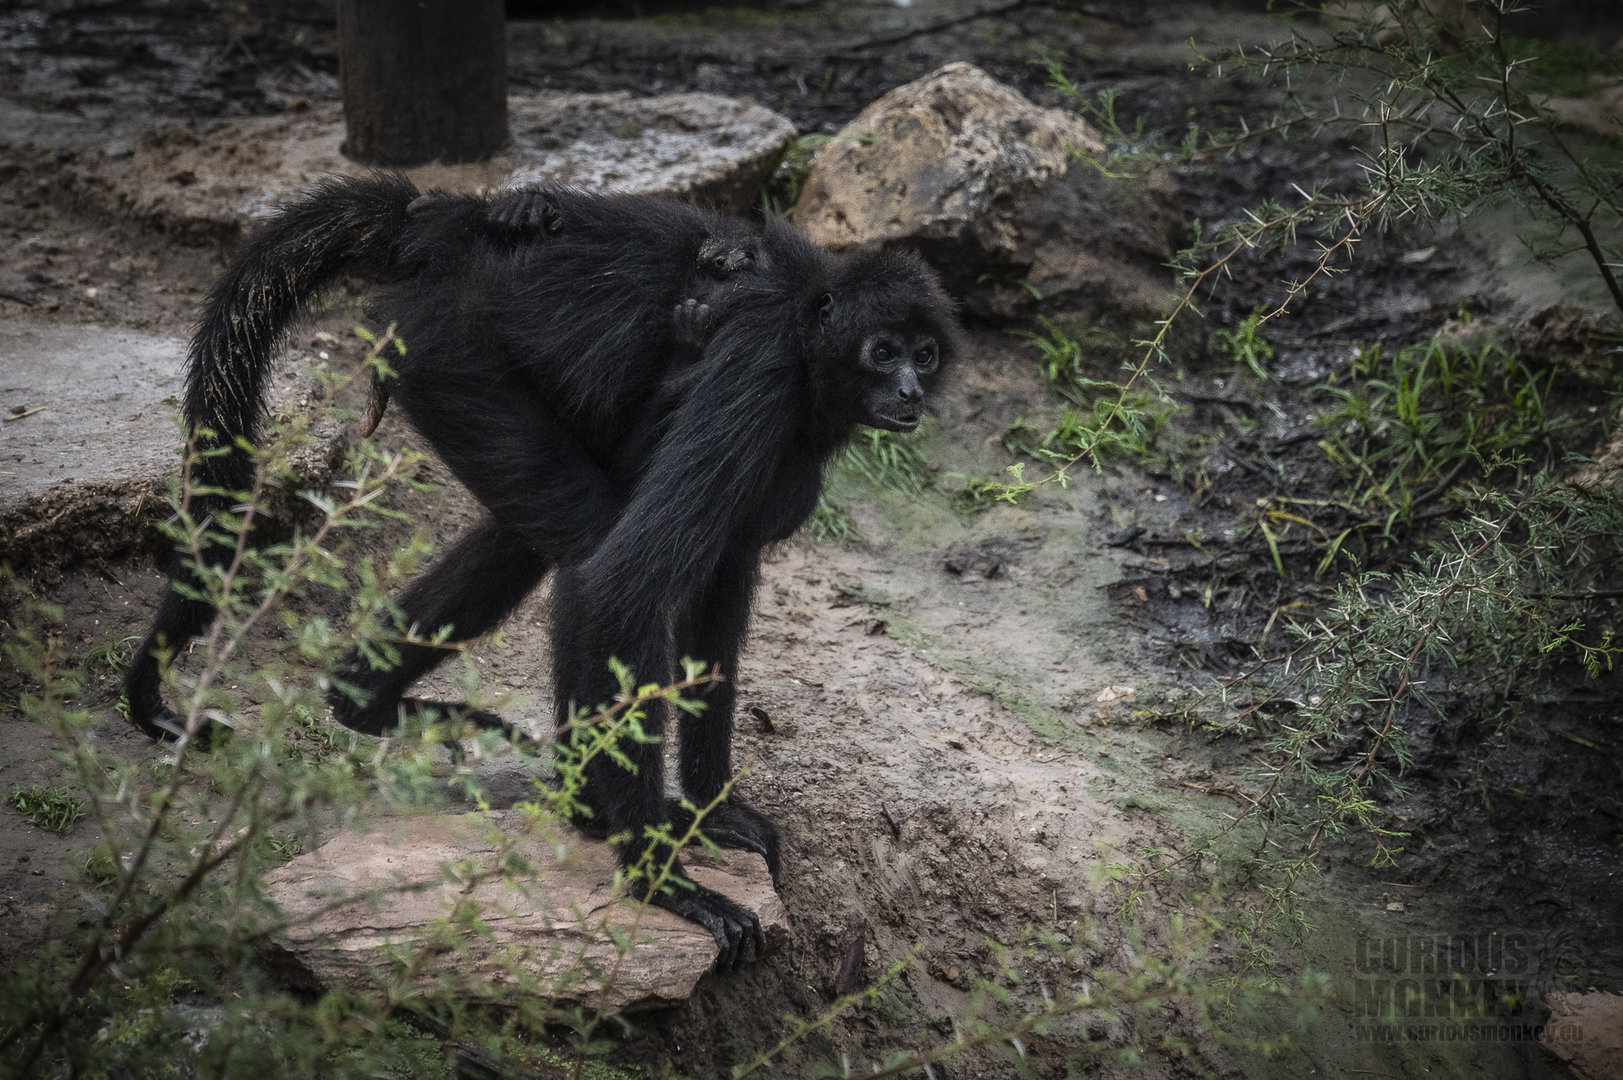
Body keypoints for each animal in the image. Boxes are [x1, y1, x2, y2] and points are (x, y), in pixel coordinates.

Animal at [122, 173, 960, 968]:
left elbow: (715, 587)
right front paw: (664, 880)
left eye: (924, 355)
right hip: (448, 358)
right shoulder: (759, 376)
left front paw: (712, 810)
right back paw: (592, 808)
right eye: (883, 351)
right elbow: (624, 583)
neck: (808, 322)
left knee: (532, 540)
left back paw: (364, 703)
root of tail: (438, 235)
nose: (910, 391)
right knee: (590, 550)